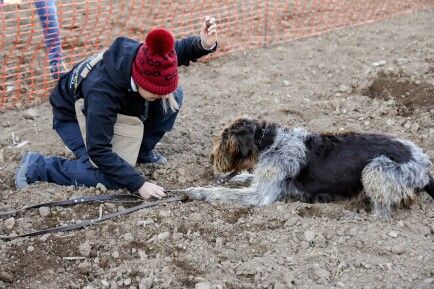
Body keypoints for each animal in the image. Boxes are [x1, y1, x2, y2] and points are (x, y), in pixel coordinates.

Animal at [186, 116, 434, 217]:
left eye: (223, 141)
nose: (210, 158)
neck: (270, 142)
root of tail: (424, 168)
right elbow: (243, 177)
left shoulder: (261, 195)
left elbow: (221, 191)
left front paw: (195, 192)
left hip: (375, 169)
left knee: (384, 210)